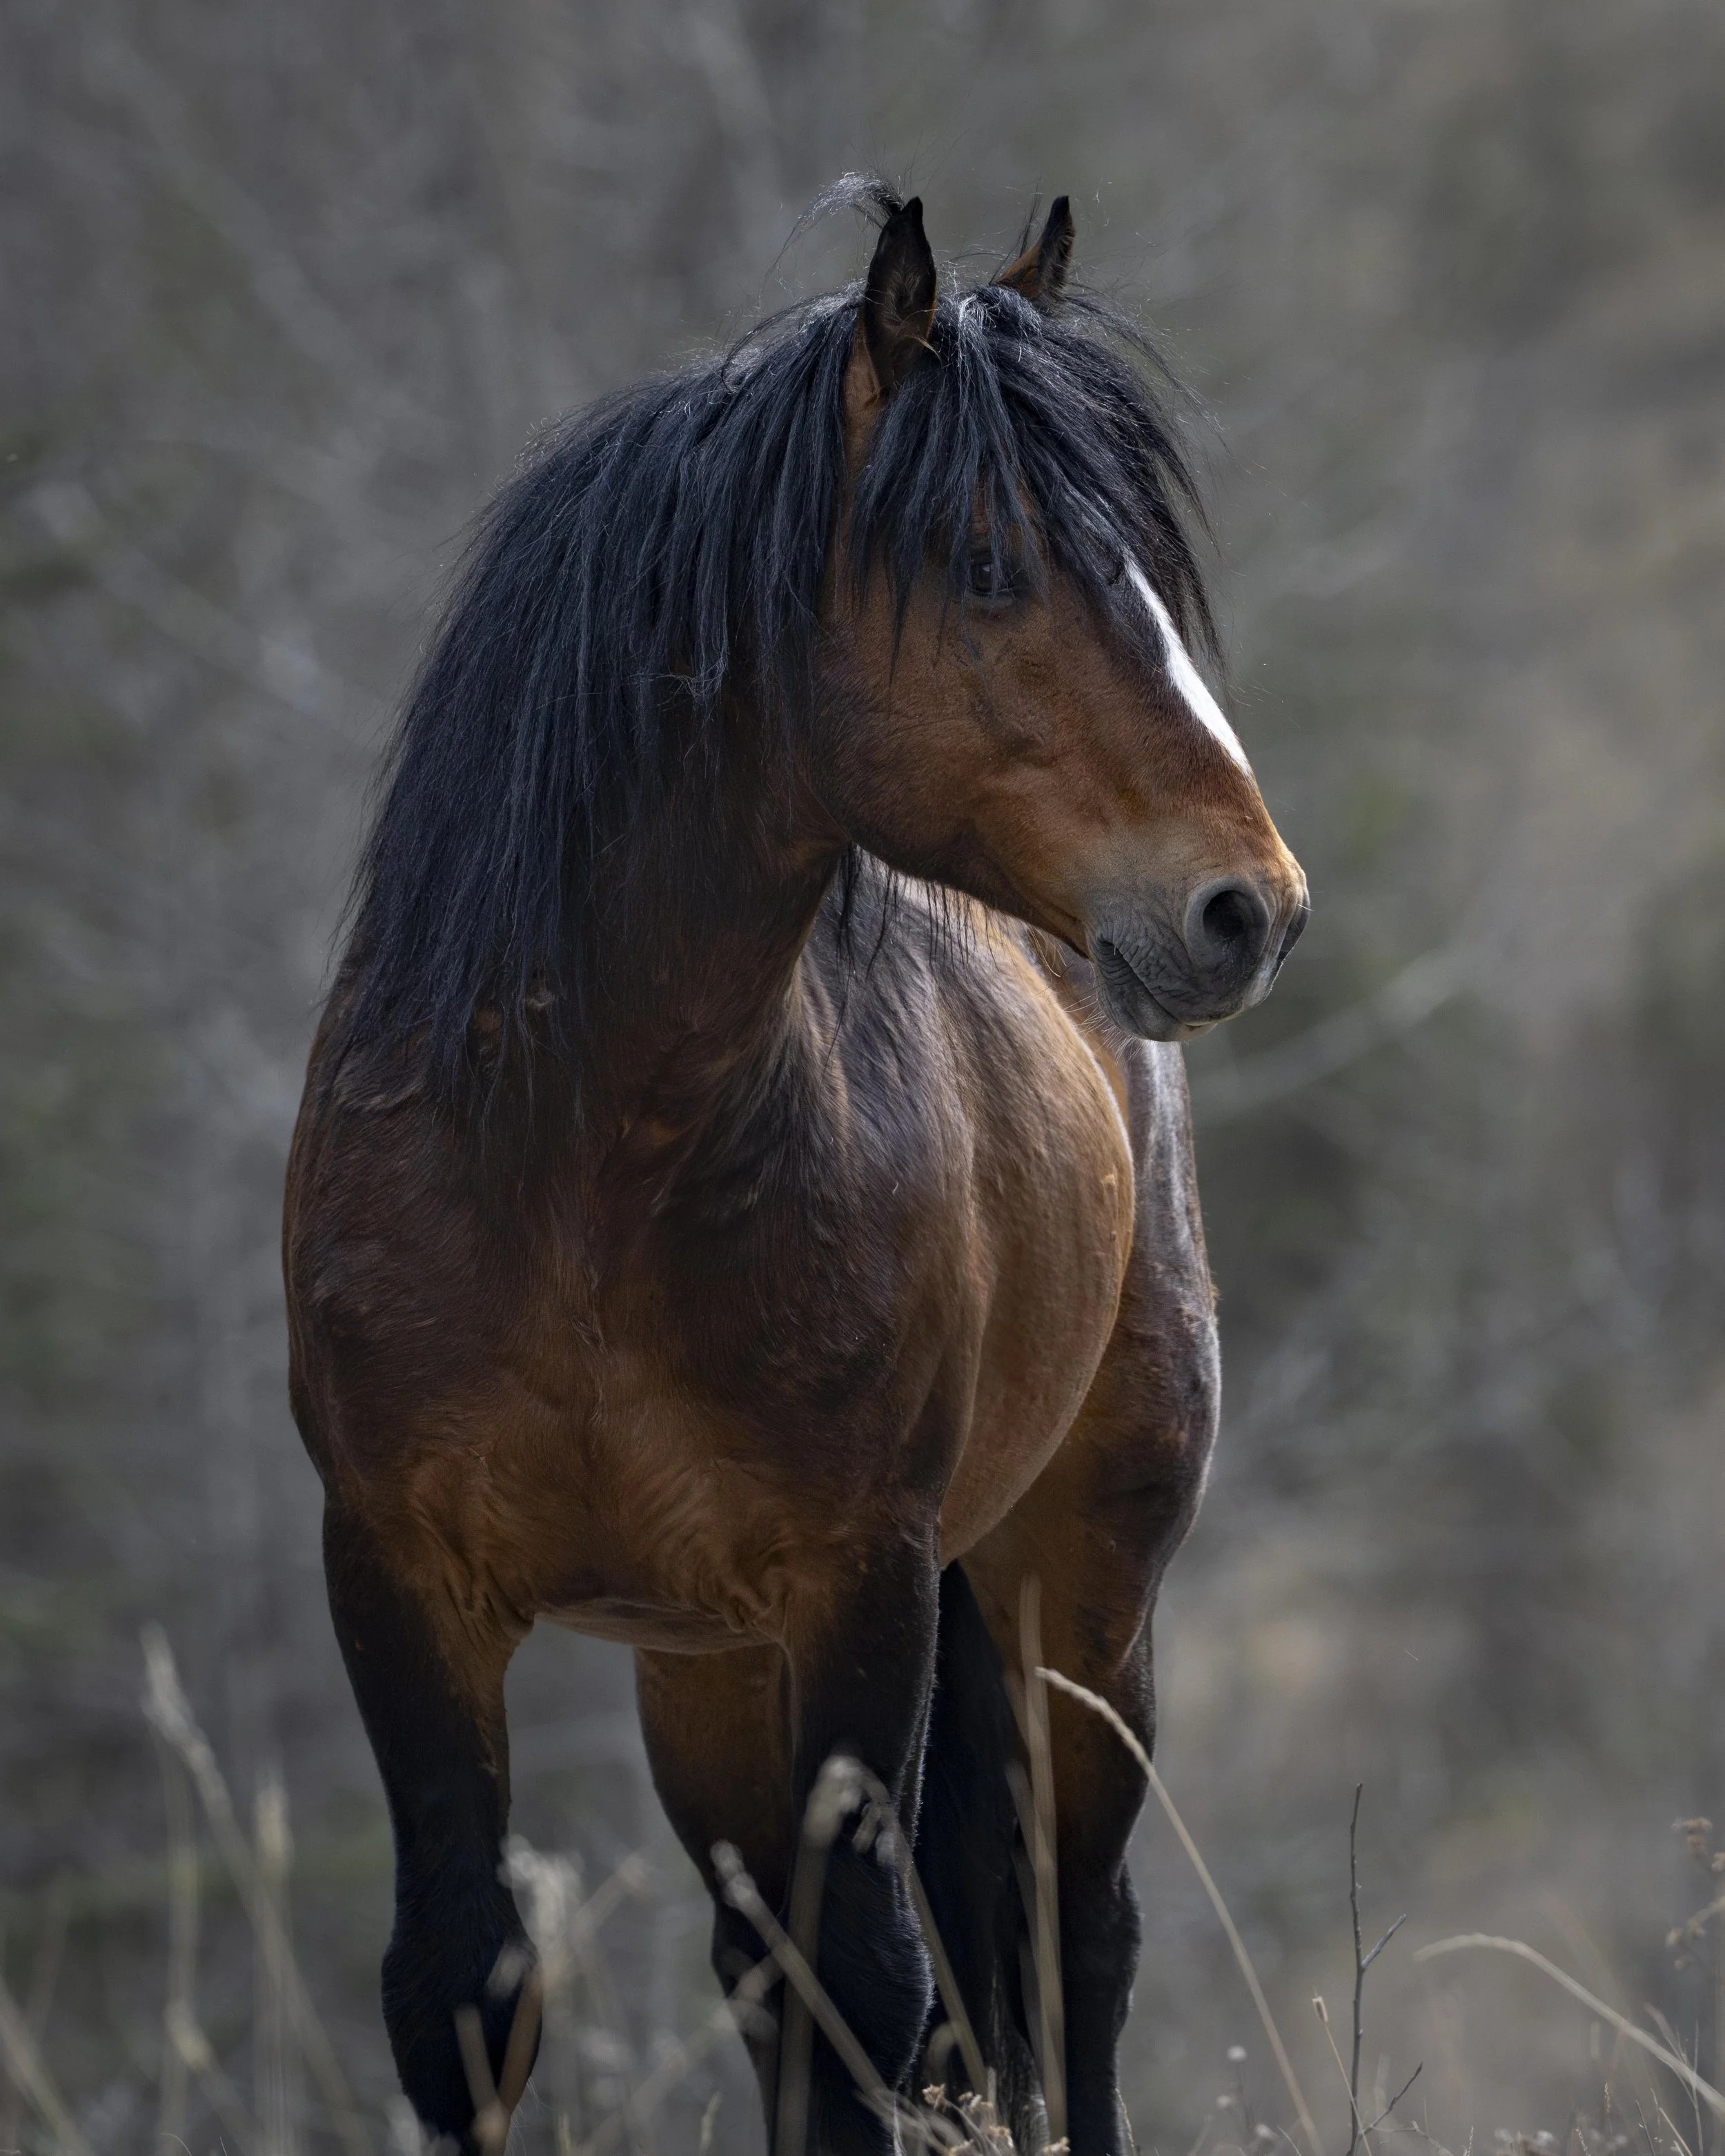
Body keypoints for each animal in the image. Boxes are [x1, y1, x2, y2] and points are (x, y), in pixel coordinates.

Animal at [284, 186, 1307, 2156]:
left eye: (1149, 567)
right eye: (987, 563)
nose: (1249, 906)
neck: (581, 1168)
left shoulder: (862, 1584)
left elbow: (882, 1993)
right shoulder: (398, 1572)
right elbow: (465, 1986)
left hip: (1082, 1592)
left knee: (1072, 1944)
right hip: (702, 1671)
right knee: (781, 1982)